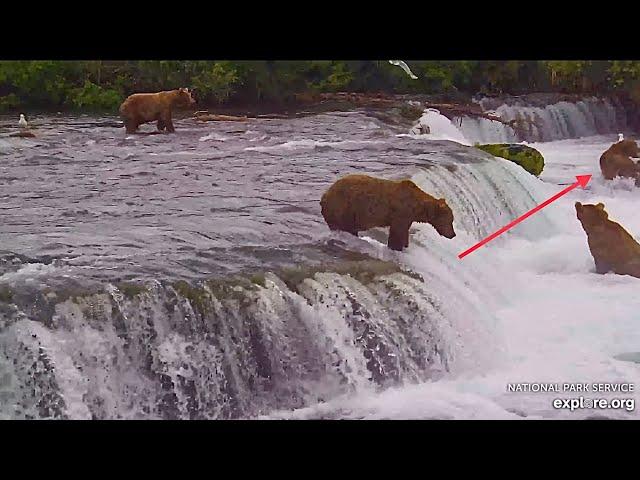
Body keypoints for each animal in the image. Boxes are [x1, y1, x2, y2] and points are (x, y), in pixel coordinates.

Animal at [320, 175, 456, 251]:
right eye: (450, 220)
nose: (453, 234)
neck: (417, 207)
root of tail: (325, 195)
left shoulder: (408, 217)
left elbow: (403, 232)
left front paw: (404, 245)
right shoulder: (401, 213)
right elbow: (397, 233)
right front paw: (396, 247)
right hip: (343, 209)